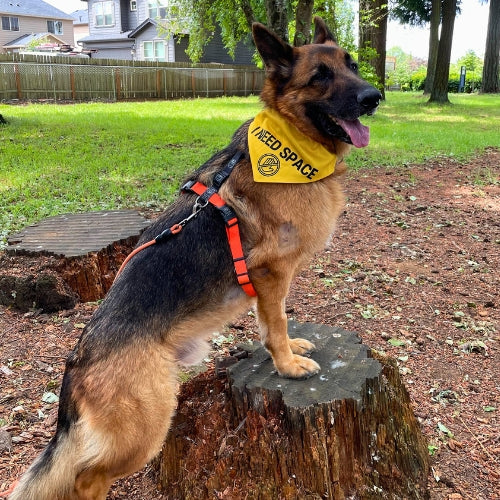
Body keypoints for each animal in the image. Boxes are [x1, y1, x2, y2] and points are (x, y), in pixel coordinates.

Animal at [8, 16, 378, 500]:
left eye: (352, 65)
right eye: (320, 77)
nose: (374, 97)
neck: (293, 143)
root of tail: (77, 362)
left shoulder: (269, 283)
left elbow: (274, 321)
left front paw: (288, 348)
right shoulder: (270, 273)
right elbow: (276, 321)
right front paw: (286, 365)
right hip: (146, 427)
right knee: (86, 478)